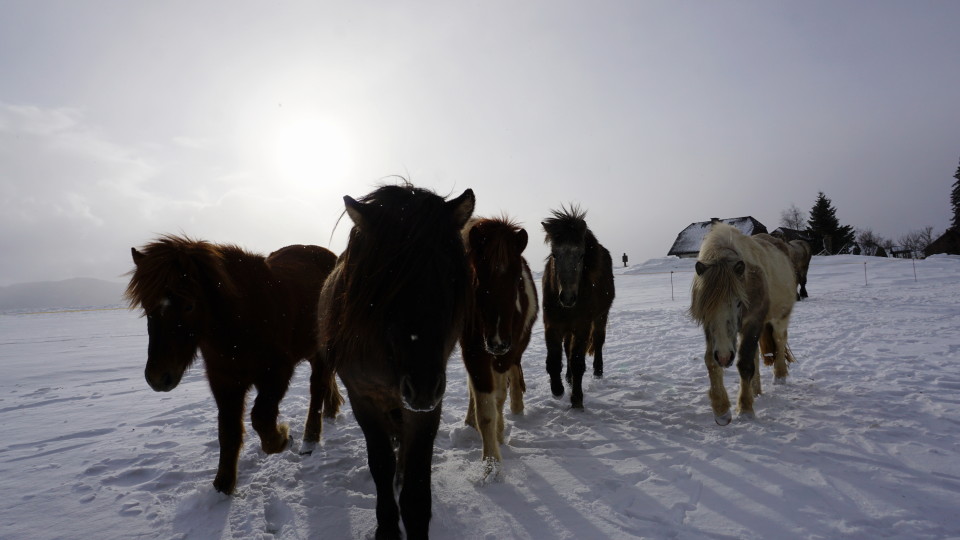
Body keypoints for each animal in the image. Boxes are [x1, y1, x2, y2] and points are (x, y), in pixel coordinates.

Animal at [124, 236, 340, 494]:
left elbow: (260, 418)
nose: (157, 377)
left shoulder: (277, 373)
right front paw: (223, 486)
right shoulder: (224, 380)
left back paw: (310, 438)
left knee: (317, 387)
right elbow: (228, 431)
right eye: (146, 306)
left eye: (188, 306)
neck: (241, 320)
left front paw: (282, 438)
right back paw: (331, 410)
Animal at [318, 184, 476, 536]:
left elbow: (416, 485)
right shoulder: (363, 398)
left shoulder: (428, 406)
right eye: (386, 277)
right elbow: (381, 464)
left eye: (449, 274)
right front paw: (387, 526)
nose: (422, 387)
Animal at [460, 217, 536, 470]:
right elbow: (485, 409)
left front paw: (500, 436)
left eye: (517, 279)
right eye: (478, 279)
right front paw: (490, 464)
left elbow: (499, 397)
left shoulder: (506, 355)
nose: (498, 342)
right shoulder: (474, 354)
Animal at [540, 207, 616, 410]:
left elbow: (578, 362)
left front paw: (577, 399)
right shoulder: (552, 324)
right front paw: (558, 389)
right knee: (567, 348)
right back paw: (568, 378)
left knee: (598, 341)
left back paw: (598, 370)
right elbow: (554, 360)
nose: (567, 297)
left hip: (600, 317)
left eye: (581, 255)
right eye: (554, 254)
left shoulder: (582, 326)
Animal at [688, 224, 796, 426]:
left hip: (779, 319)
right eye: (705, 308)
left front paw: (745, 409)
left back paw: (779, 376)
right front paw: (722, 411)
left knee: (779, 341)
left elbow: (745, 364)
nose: (724, 357)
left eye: (739, 302)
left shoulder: (753, 322)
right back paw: (756, 390)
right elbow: (711, 362)